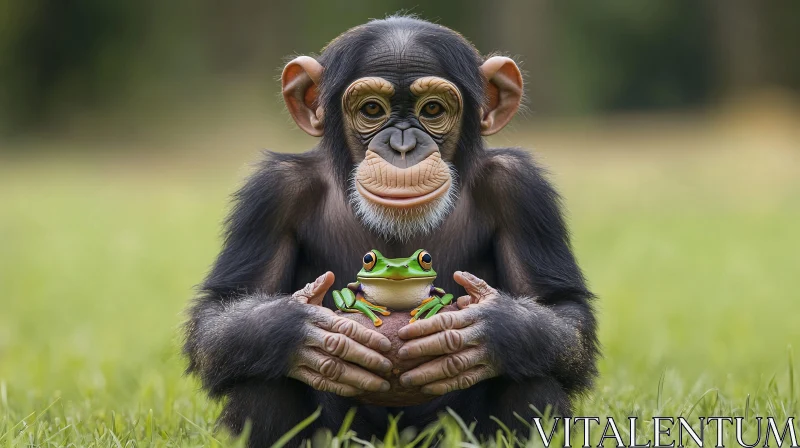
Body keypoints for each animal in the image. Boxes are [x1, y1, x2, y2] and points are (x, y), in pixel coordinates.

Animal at [184, 15, 596, 446]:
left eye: (432, 109)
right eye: (371, 109)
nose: (402, 146)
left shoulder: (522, 189)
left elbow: (561, 309)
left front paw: (490, 323)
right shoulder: (271, 194)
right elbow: (223, 310)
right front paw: (302, 326)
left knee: (532, 373)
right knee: (263, 373)